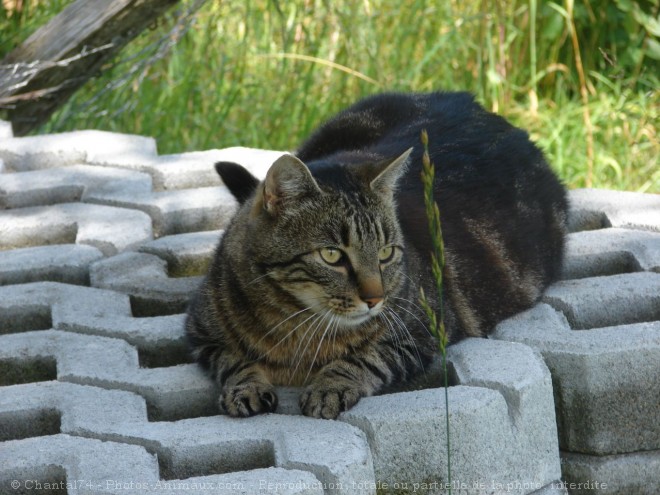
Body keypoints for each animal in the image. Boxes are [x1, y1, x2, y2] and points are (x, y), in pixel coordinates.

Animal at [184, 92, 568, 418]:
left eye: (385, 253)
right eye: (332, 255)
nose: (375, 299)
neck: (295, 326)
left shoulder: (423, 332)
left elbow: (366, 358)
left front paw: (329, 386)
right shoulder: (201, 333)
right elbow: (232, 359)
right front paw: (245, 386)